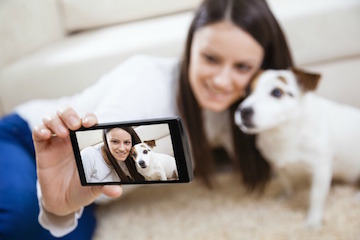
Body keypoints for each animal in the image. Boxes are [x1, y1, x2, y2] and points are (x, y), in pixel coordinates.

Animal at [233, 68, 360, 228]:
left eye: (277, 92)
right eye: (248, 91)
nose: (243, 111)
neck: (284, 131)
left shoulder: (321, 169)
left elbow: (315, 197)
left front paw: (313, 220)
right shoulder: (276, 164)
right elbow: (286, 182)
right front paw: (287, 196)